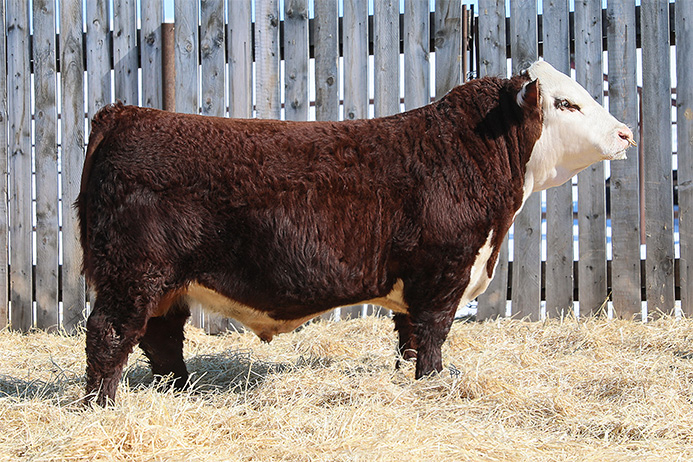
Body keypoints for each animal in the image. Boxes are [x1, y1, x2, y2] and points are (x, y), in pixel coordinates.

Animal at [78, 61, 635, 405]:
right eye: (566, 104)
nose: (626, 133)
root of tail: (123, 113)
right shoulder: (444, 271)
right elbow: (434, 335)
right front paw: (433, 386)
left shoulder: (418, 282)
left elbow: (409, 337)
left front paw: (409, 382)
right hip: (132, 273)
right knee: (109, 334)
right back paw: (103, 406)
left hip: (160, 283)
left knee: (161, 337)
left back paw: (180, 390)